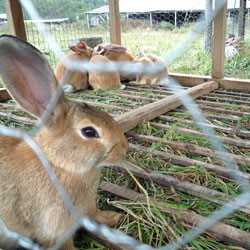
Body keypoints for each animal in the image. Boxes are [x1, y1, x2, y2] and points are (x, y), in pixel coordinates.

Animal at [0, 35, 128, 250]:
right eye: (89, 131)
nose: (124, 149)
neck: (60, 164)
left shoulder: (88, 206)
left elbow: (94, 214)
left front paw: (114, 217)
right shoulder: (56, 230)